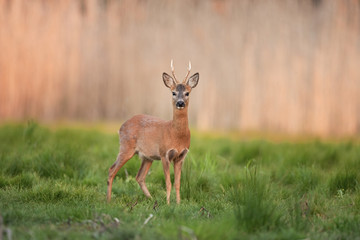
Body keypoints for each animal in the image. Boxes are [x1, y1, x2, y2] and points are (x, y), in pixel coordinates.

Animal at [107, 60, 200, 204]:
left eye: (187, 93)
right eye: (173, 92)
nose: (180, 103)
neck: (175, 134)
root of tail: (121, 126)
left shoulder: (181, 156)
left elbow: (178, 183)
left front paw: (178, 204)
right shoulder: (164, 153)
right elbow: (168, 182)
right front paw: (168, 204)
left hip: (147, 156)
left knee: (139, 176)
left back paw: (151, 199)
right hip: (126, 147)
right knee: (112, 170)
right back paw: (108, 201)